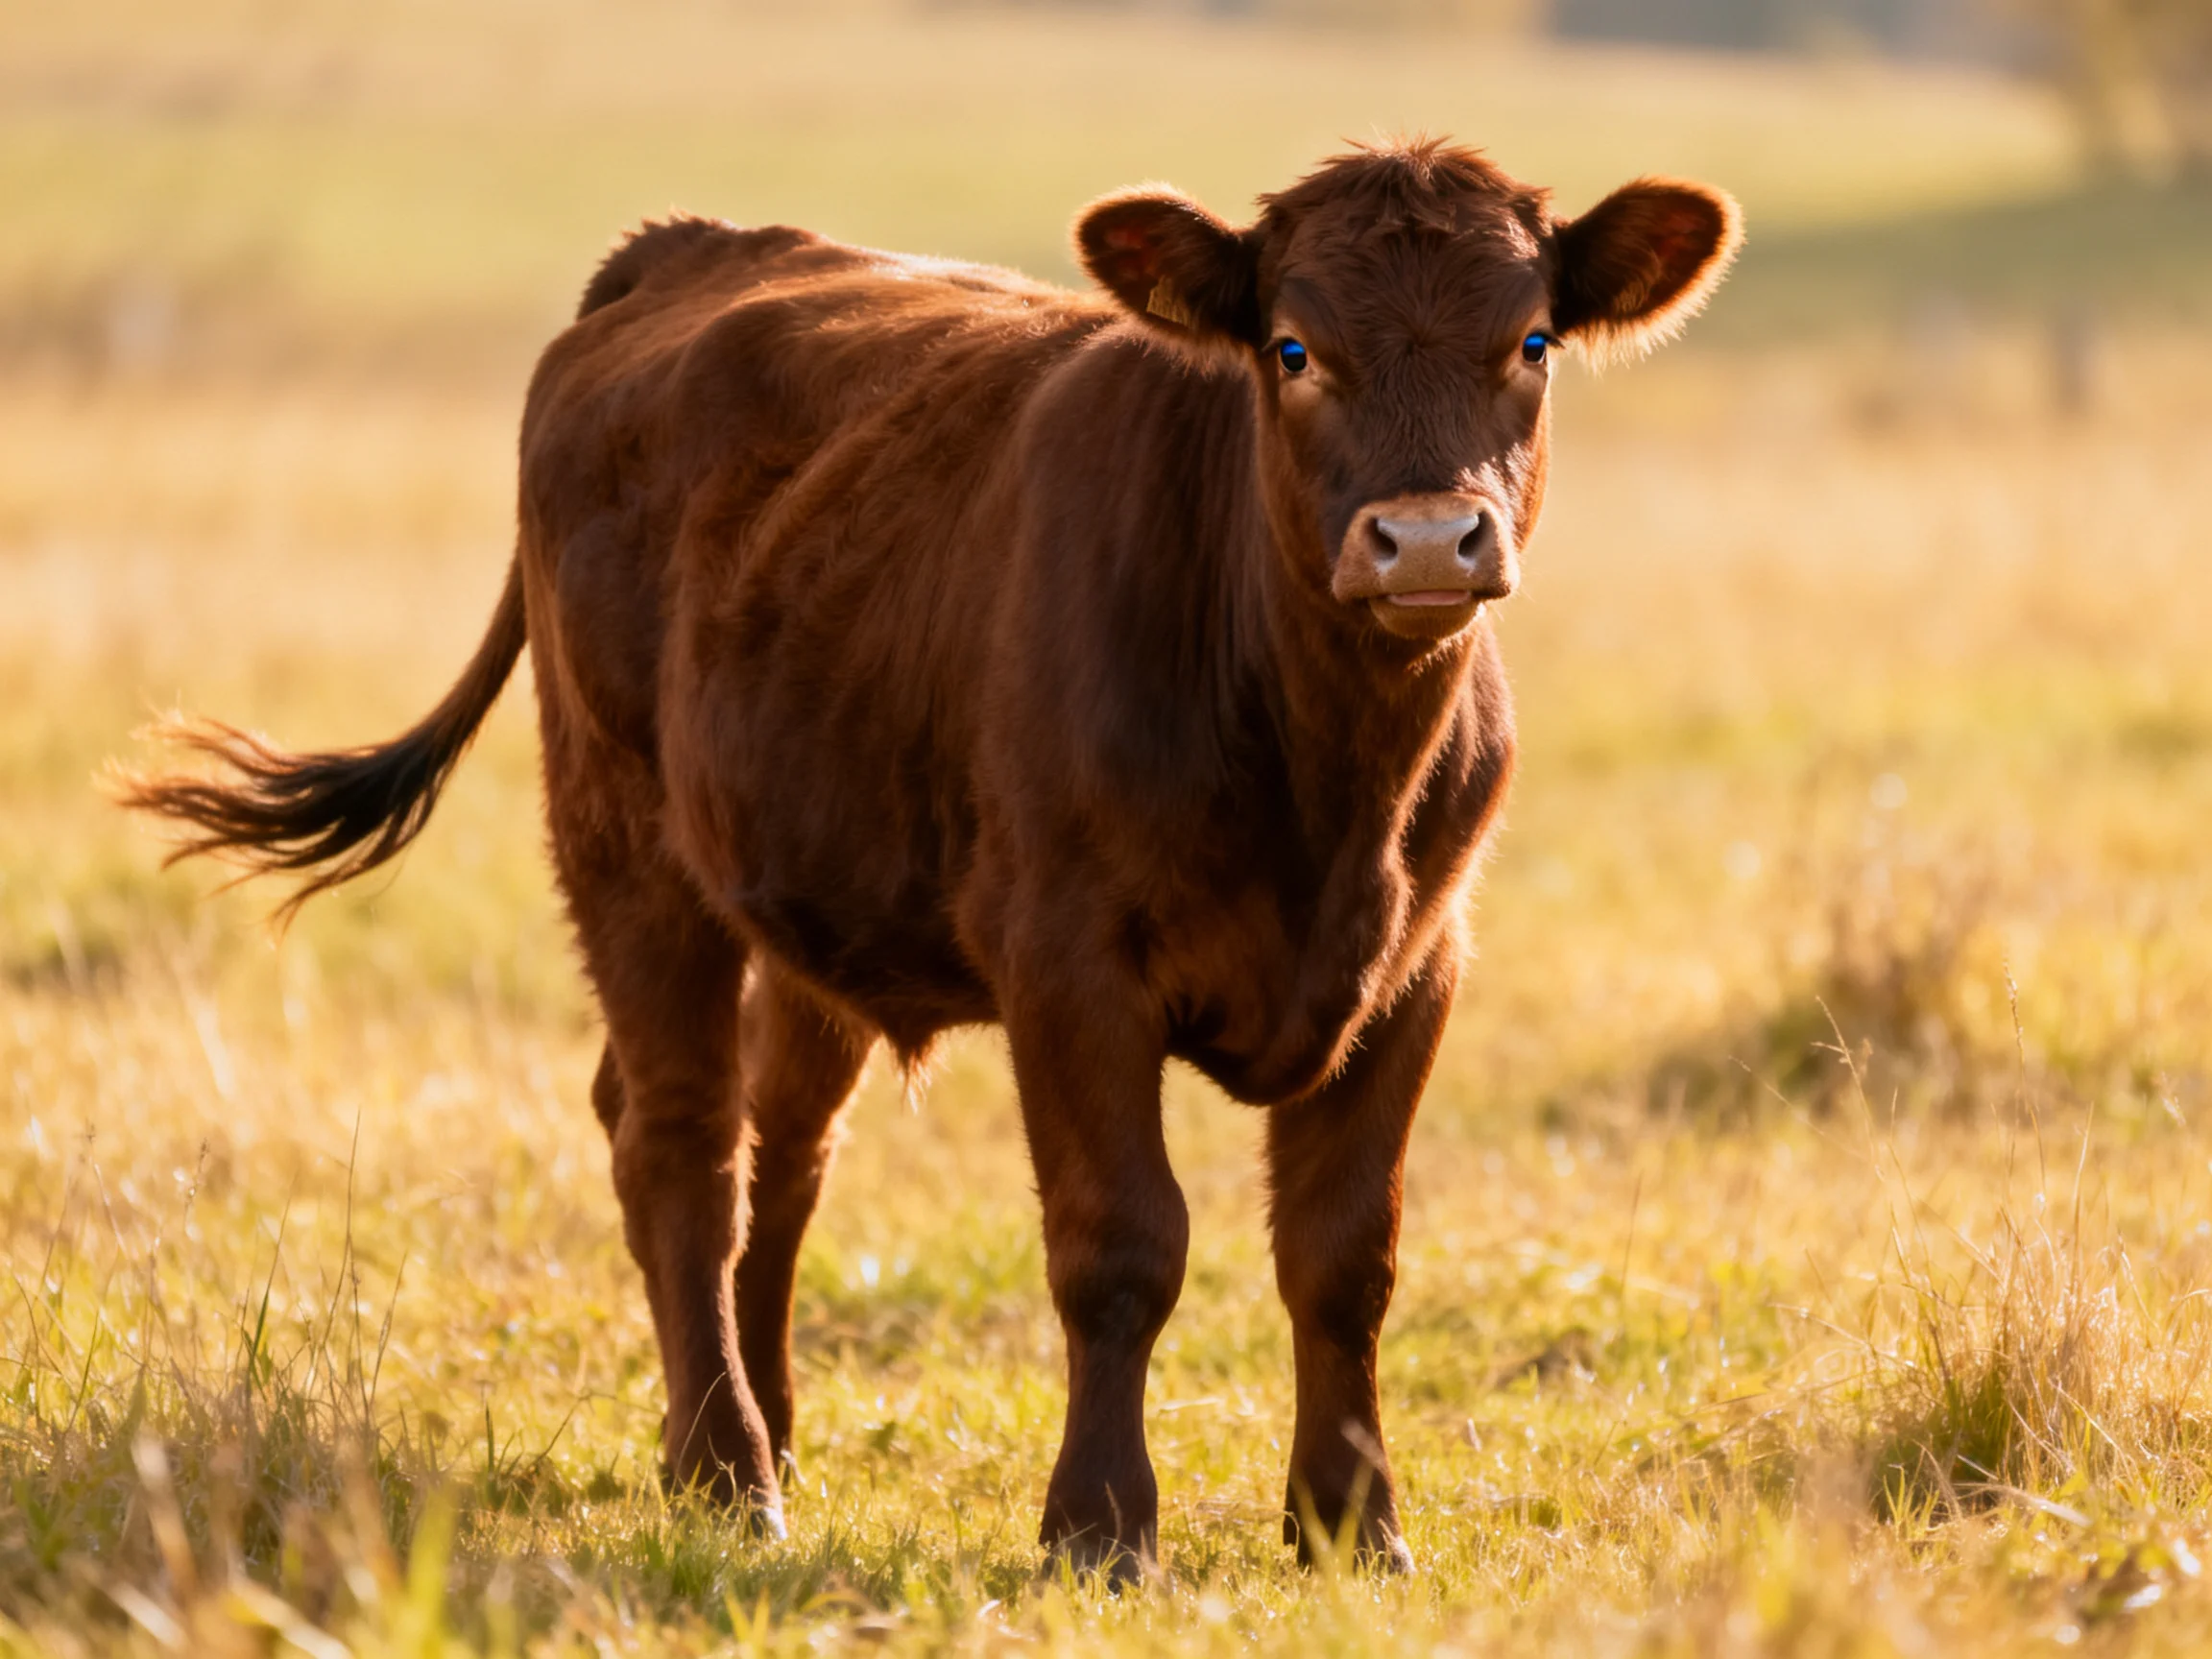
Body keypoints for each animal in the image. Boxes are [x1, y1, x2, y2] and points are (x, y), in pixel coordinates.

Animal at [122, 138, 1739, 1580]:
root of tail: (696, 245)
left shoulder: (1416, 965)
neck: (1326, 780)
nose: (1425, 541)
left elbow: (1345, 1259)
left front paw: (1354, 1530)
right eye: (1292, 348)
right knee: (678, 1140)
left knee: (777, 1146)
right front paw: (1100, 1531)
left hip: (807, 886)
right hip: (623, 835)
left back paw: (754, 1427)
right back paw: (728, 1473)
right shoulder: (1069, 961)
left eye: (1530, 341)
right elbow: (1121, 1246)